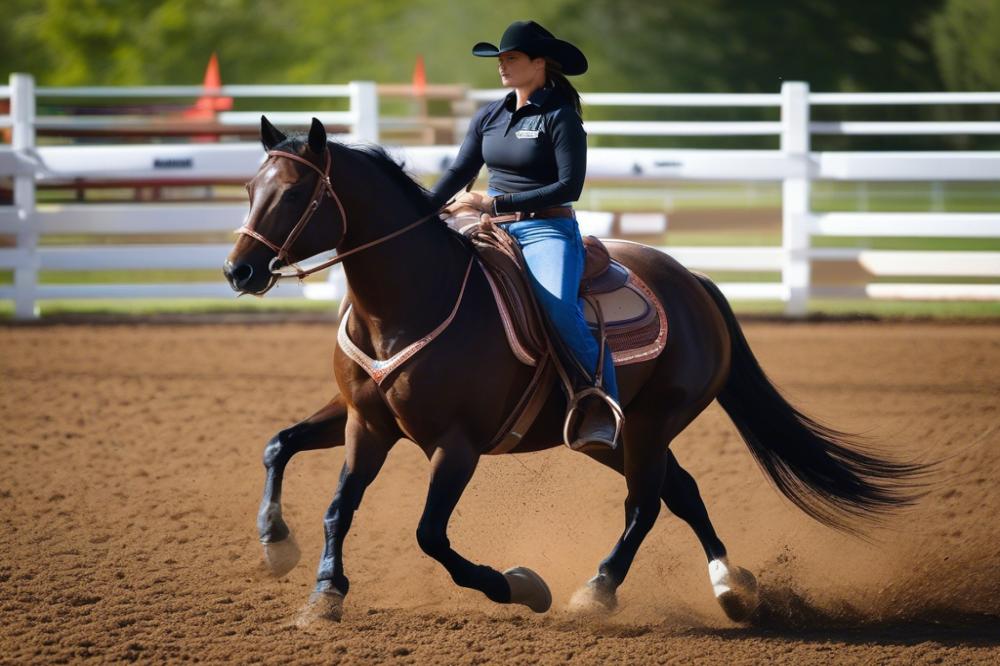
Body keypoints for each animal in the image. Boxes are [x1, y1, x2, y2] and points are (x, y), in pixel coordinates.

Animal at [223, 115, 924, 624]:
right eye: (250, 190)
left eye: (293, 192)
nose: (239, 271)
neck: (413, 299)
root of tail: (694, 282)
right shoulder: (365, 422)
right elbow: (303, 471)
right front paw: (301, 569)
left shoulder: (457, 443)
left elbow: (430, 535)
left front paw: (519, 585)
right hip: (610, 434)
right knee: (682, 490)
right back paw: (731, 585)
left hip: (650, 424)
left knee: (644, 504)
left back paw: (598, 591)